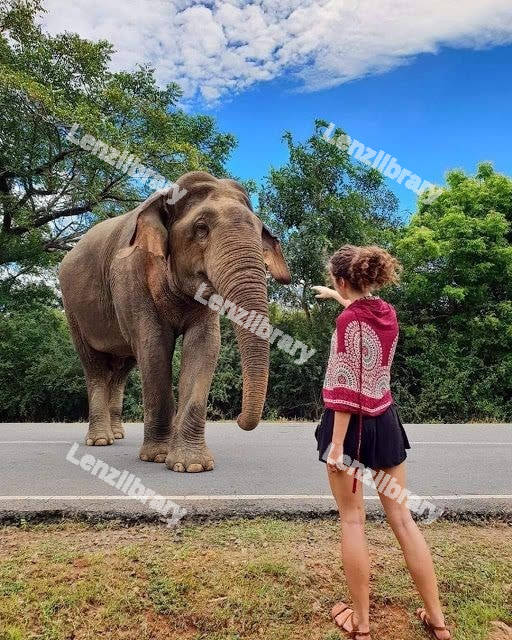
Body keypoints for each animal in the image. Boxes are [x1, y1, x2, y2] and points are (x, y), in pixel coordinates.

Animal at [59, 171, 291, 472]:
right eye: (201, 228)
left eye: (258, 230)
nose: (239, 419)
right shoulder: (131, 279)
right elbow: (154, 346)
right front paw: (157, 456)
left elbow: (204, 346)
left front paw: (192, 465)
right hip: (72, 308)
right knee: (95, 366)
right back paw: (100, 441)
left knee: (122, 368)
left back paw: (118, 435)